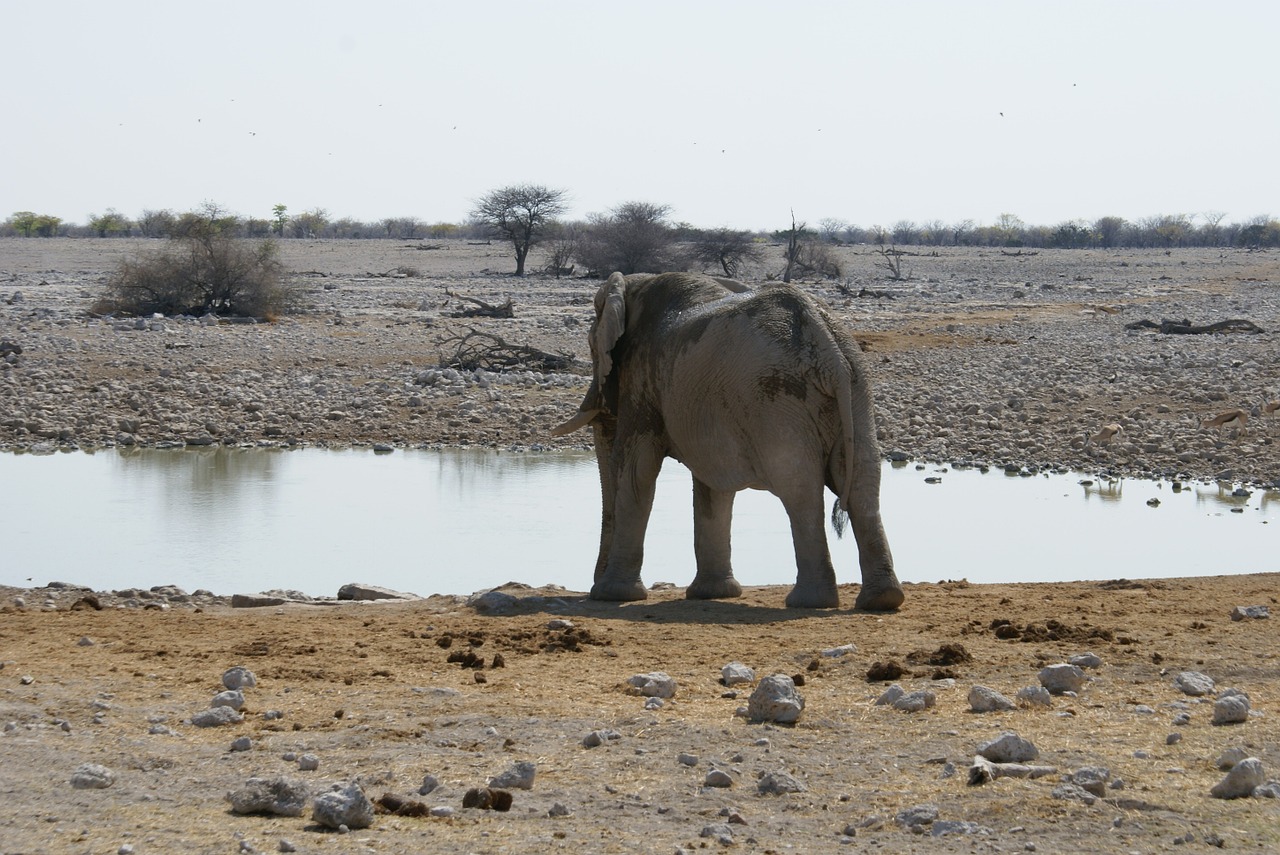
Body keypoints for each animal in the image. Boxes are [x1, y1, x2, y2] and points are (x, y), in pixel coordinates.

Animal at [550, 270, 901, 611]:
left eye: (592, 347)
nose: (590, 590)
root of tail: (826, 342)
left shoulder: (642, 377)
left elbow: (637, 469)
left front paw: (613, 596)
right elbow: (712, 484)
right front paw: (712, 594)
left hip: (777, 397)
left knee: (800, 488)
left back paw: (809, 602)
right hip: (856, 390)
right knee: (863, 483)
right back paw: (880, 600)